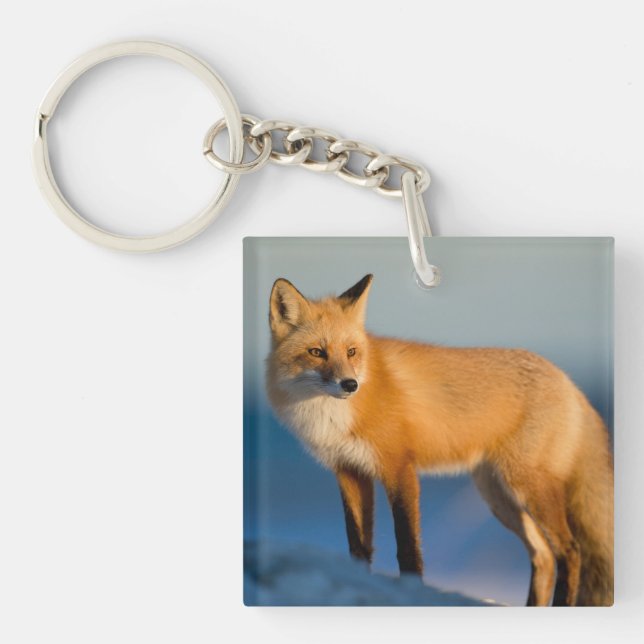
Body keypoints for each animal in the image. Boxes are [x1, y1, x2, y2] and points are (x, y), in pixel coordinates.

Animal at [265, 274, 614, 607]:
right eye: (316, 352)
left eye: (351, 352)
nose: (350, 384)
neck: (333, 415)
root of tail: (568, 382)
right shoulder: (350, 472)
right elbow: (358, 547)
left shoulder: (399, 468)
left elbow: (407, 547)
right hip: (499, 497)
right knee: (543, 557)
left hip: (527, 487)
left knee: (570, 550)